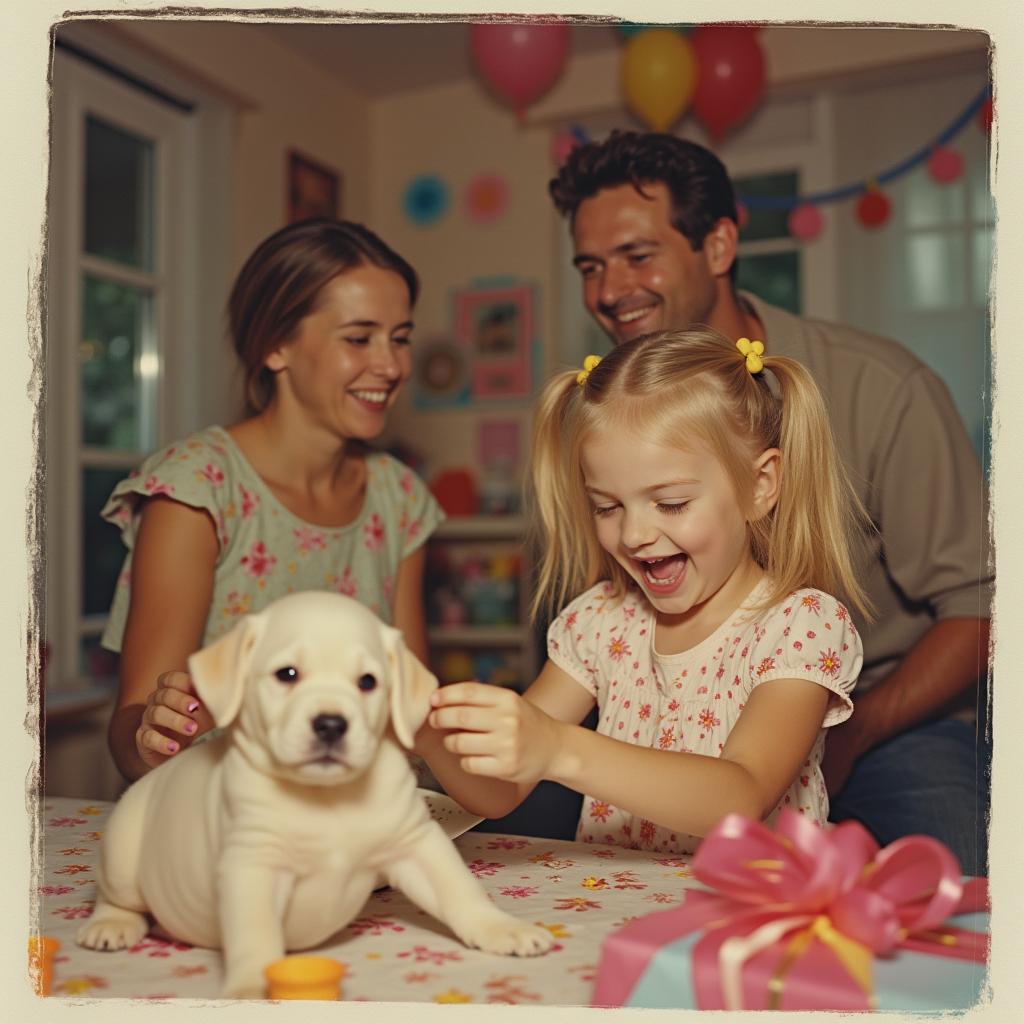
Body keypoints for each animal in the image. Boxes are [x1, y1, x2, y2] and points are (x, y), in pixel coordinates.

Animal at [77, 593, 552, 999]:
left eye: (368, 682)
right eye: (287, 674)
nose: (330, 724)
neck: (327, 801)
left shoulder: (417, 844)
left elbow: (459, 890)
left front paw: (501, 928)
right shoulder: (254, 867)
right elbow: (255, 935)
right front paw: (251, 988)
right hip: (122, 854)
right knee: (114, 894)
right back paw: (112, 923)